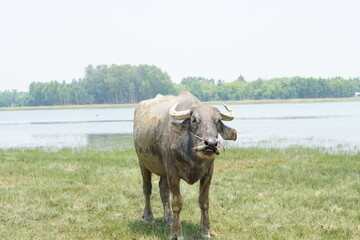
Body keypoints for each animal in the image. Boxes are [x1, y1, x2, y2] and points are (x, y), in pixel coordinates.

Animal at [132, 91, 236, 238]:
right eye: (194, 120)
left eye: (218, 121)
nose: (210, 144)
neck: (193, 157)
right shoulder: (173, 173)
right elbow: (177, 203)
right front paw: (176, 233)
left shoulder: (208, 173)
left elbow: (204, 201)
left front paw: (206, 230)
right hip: (142, 163)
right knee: (147, 189)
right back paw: (148, 217)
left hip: (163, 171)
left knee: (163, 190)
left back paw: (168, 219)